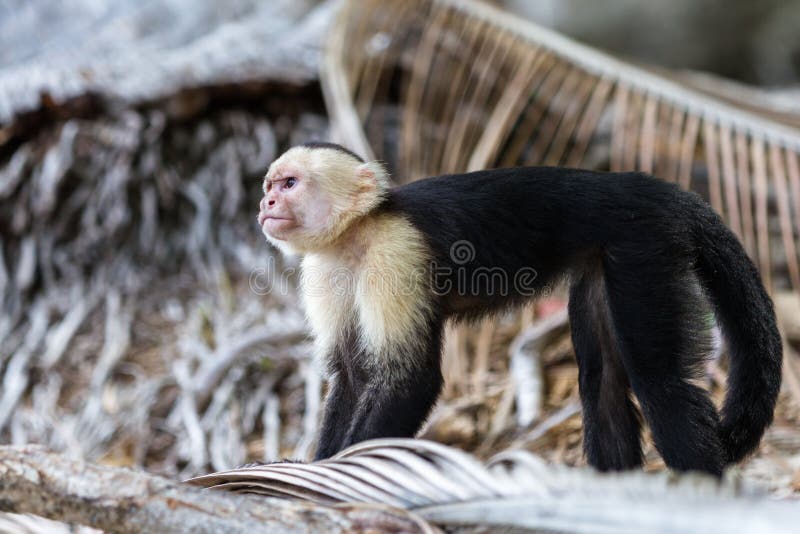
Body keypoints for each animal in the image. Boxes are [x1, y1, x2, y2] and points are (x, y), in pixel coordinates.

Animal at [258, 141, 780, 478]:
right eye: (269, 185)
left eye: (290, 183)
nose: (265, 203)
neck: (356, 234)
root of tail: (651, 188)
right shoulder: (324, 270)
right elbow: (350, 376)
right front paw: (315, 468)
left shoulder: (396, 251)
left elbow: (409, 378)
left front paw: (339, 470)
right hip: (606, 256)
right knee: (603, 380)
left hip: (645, 245)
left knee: (660, 382)